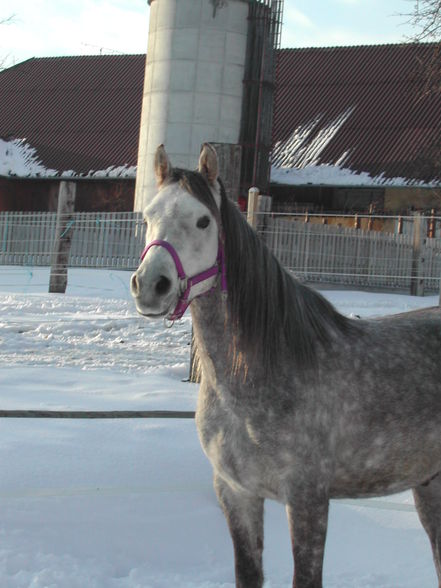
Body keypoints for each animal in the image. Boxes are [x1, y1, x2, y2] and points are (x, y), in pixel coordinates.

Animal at [132, 144, 440, 588]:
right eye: (148, 216)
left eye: (203, 220)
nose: (150, 286)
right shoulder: (237, 493)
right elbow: (248, 574)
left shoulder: (308, 499)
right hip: (430, 486)